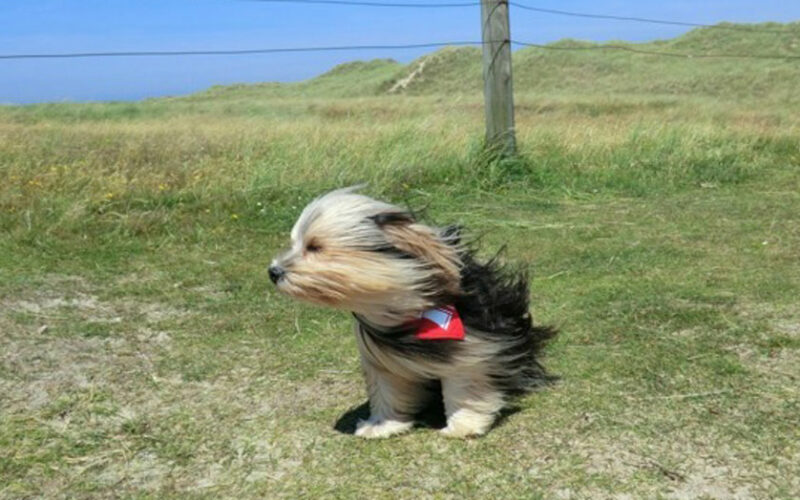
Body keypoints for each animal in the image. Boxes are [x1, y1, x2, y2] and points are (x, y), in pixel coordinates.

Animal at [268, 188, 556, 438]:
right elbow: (387, 389)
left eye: (314, 246)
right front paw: (382, 425)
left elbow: (464, 384)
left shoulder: (474, 346)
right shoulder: (380, 359)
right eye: (294, 244)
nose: (273, 272)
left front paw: (463, 425)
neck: (403, 308)